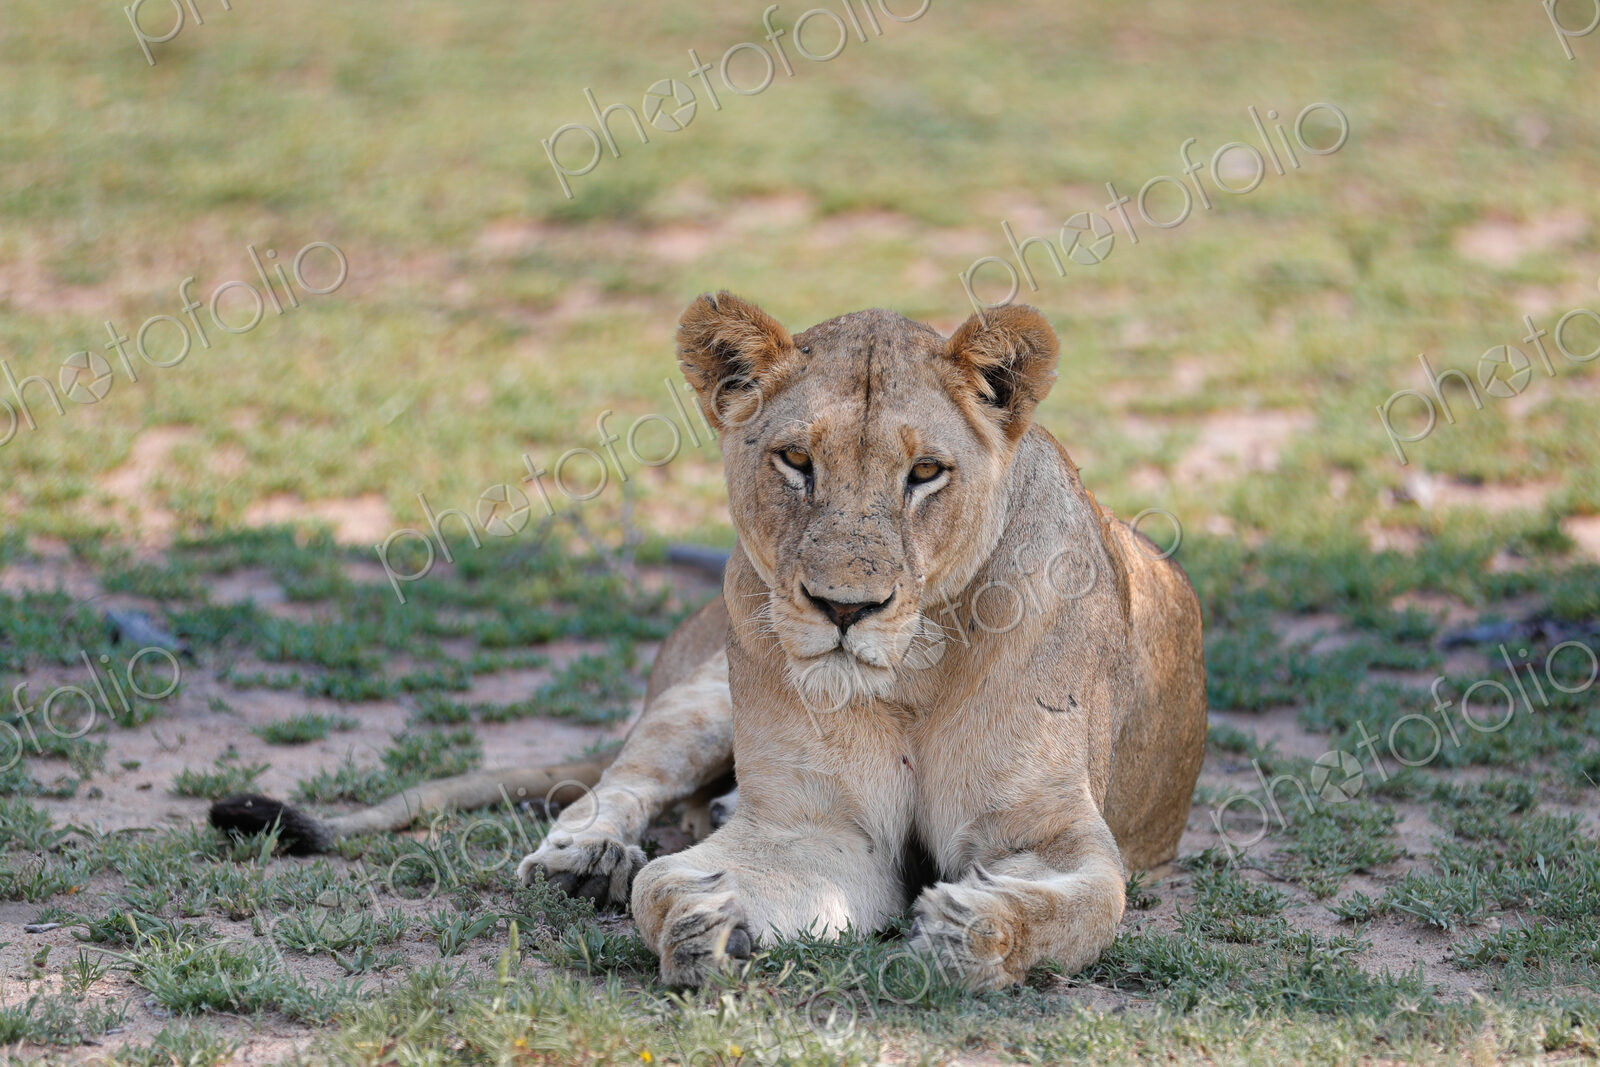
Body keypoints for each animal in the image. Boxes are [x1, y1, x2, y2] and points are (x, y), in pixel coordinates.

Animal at [211, 293, 1207, 991]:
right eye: (795, 461)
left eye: (926, 472)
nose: (845, 607)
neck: (914, 671)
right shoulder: (823, 830)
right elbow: (670, 881)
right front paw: (698, 919)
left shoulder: (1059, 833)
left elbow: (1084, 906)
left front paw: (968, 929)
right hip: (701, 691)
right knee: (618, 783)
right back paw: (588, 861)